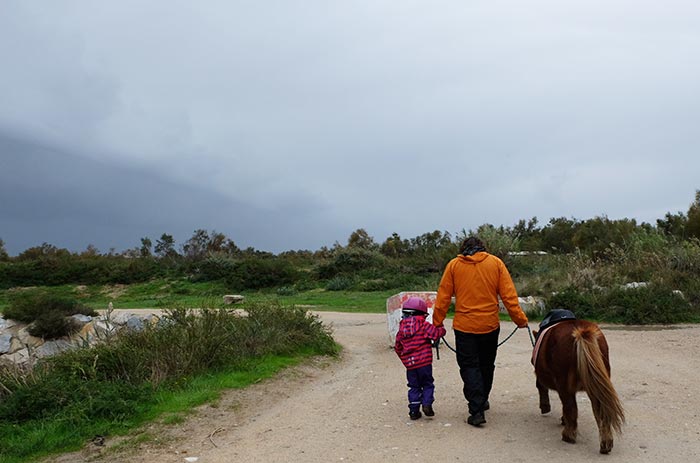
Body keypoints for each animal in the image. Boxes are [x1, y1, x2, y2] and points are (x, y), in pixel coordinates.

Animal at [532, 320, 628, 454]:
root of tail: (581, 331)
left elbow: (542, 388)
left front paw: (546, 408)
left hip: (565, 387)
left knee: (570, 408)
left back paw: (568, 435)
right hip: (596, 387)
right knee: (601, 411)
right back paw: (606, 443)